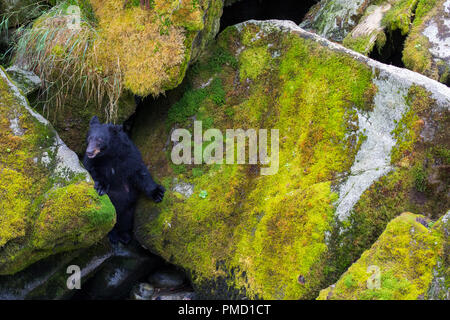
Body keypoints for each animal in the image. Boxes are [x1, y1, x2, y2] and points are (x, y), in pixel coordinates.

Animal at [82, 116, 165, 244]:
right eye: (89, 138)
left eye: (100, 140)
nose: (89, 151)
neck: (109, 156)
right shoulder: (92, 161)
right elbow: (92, 170)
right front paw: (101, 187)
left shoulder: (129, 156)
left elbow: (140, 172)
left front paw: (157, 193)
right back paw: (113, 236)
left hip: (129, 208)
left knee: (126, 219)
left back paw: (124, 236)